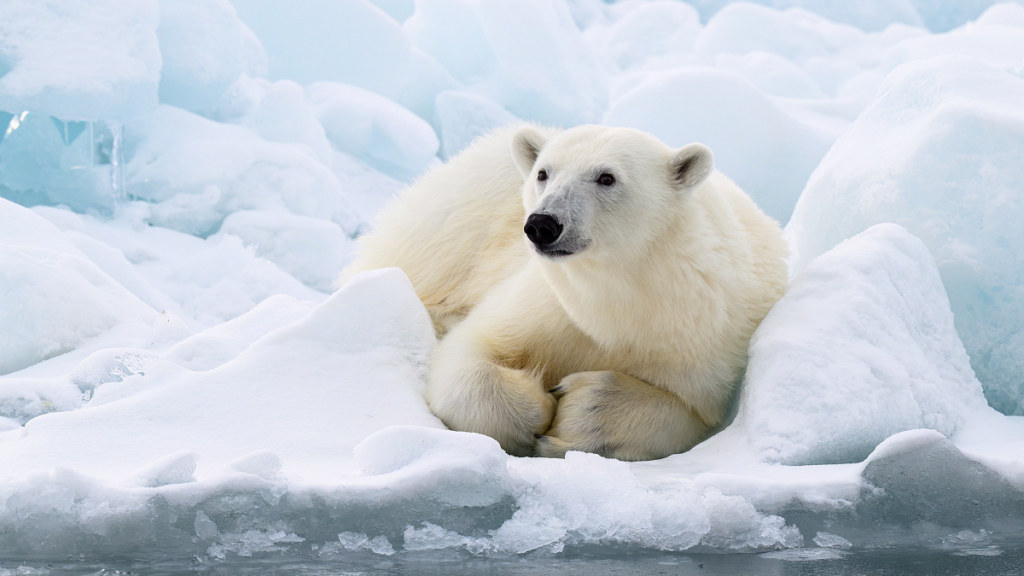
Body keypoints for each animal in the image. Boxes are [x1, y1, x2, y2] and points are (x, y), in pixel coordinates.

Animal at [341, 124, 789, 461]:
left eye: (606, 177)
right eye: (544, 173)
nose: (543, 224)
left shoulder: (706, 339)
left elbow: (685, 411)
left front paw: (575, 416)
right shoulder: (546, 304)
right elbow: (472, 353)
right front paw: (534, 413)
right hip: (458, 212)